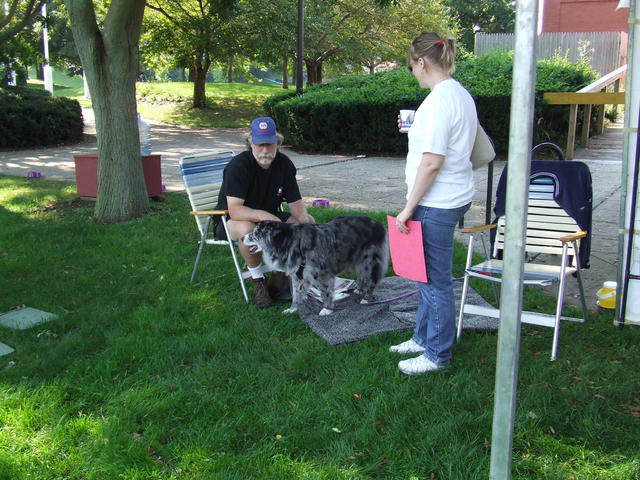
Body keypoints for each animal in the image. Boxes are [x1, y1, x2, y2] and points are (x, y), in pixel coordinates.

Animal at [242, 215, 389, 315]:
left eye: (255, 234)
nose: (241, 238)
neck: (290, 241)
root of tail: (379, 224)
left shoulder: (323, 274)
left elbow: (326, 292)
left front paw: (327, 309)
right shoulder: (297, 275)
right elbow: (296, 295)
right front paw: (293, 309)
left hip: (369, 262)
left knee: (372, 279)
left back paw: (367, 298)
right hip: (356, 260)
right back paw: (359, 289)